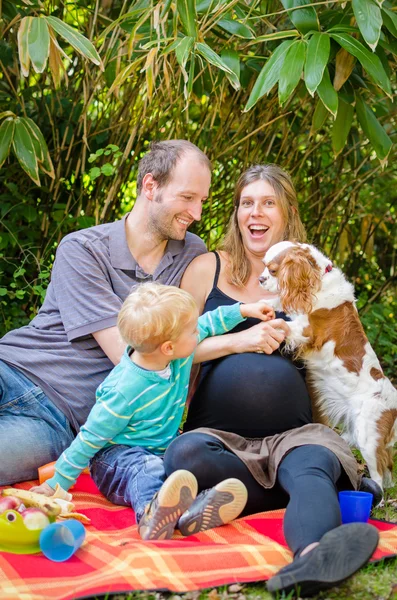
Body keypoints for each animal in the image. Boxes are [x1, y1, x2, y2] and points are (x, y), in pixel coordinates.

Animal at [260, 241, 396, 490]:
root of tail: (394, 407)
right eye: (264, 266)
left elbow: (283, 323)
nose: (260, 279)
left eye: (273, 270)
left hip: (368, 437)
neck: (318, 281)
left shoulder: (306, 331)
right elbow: (276, 303)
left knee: (379, 475)